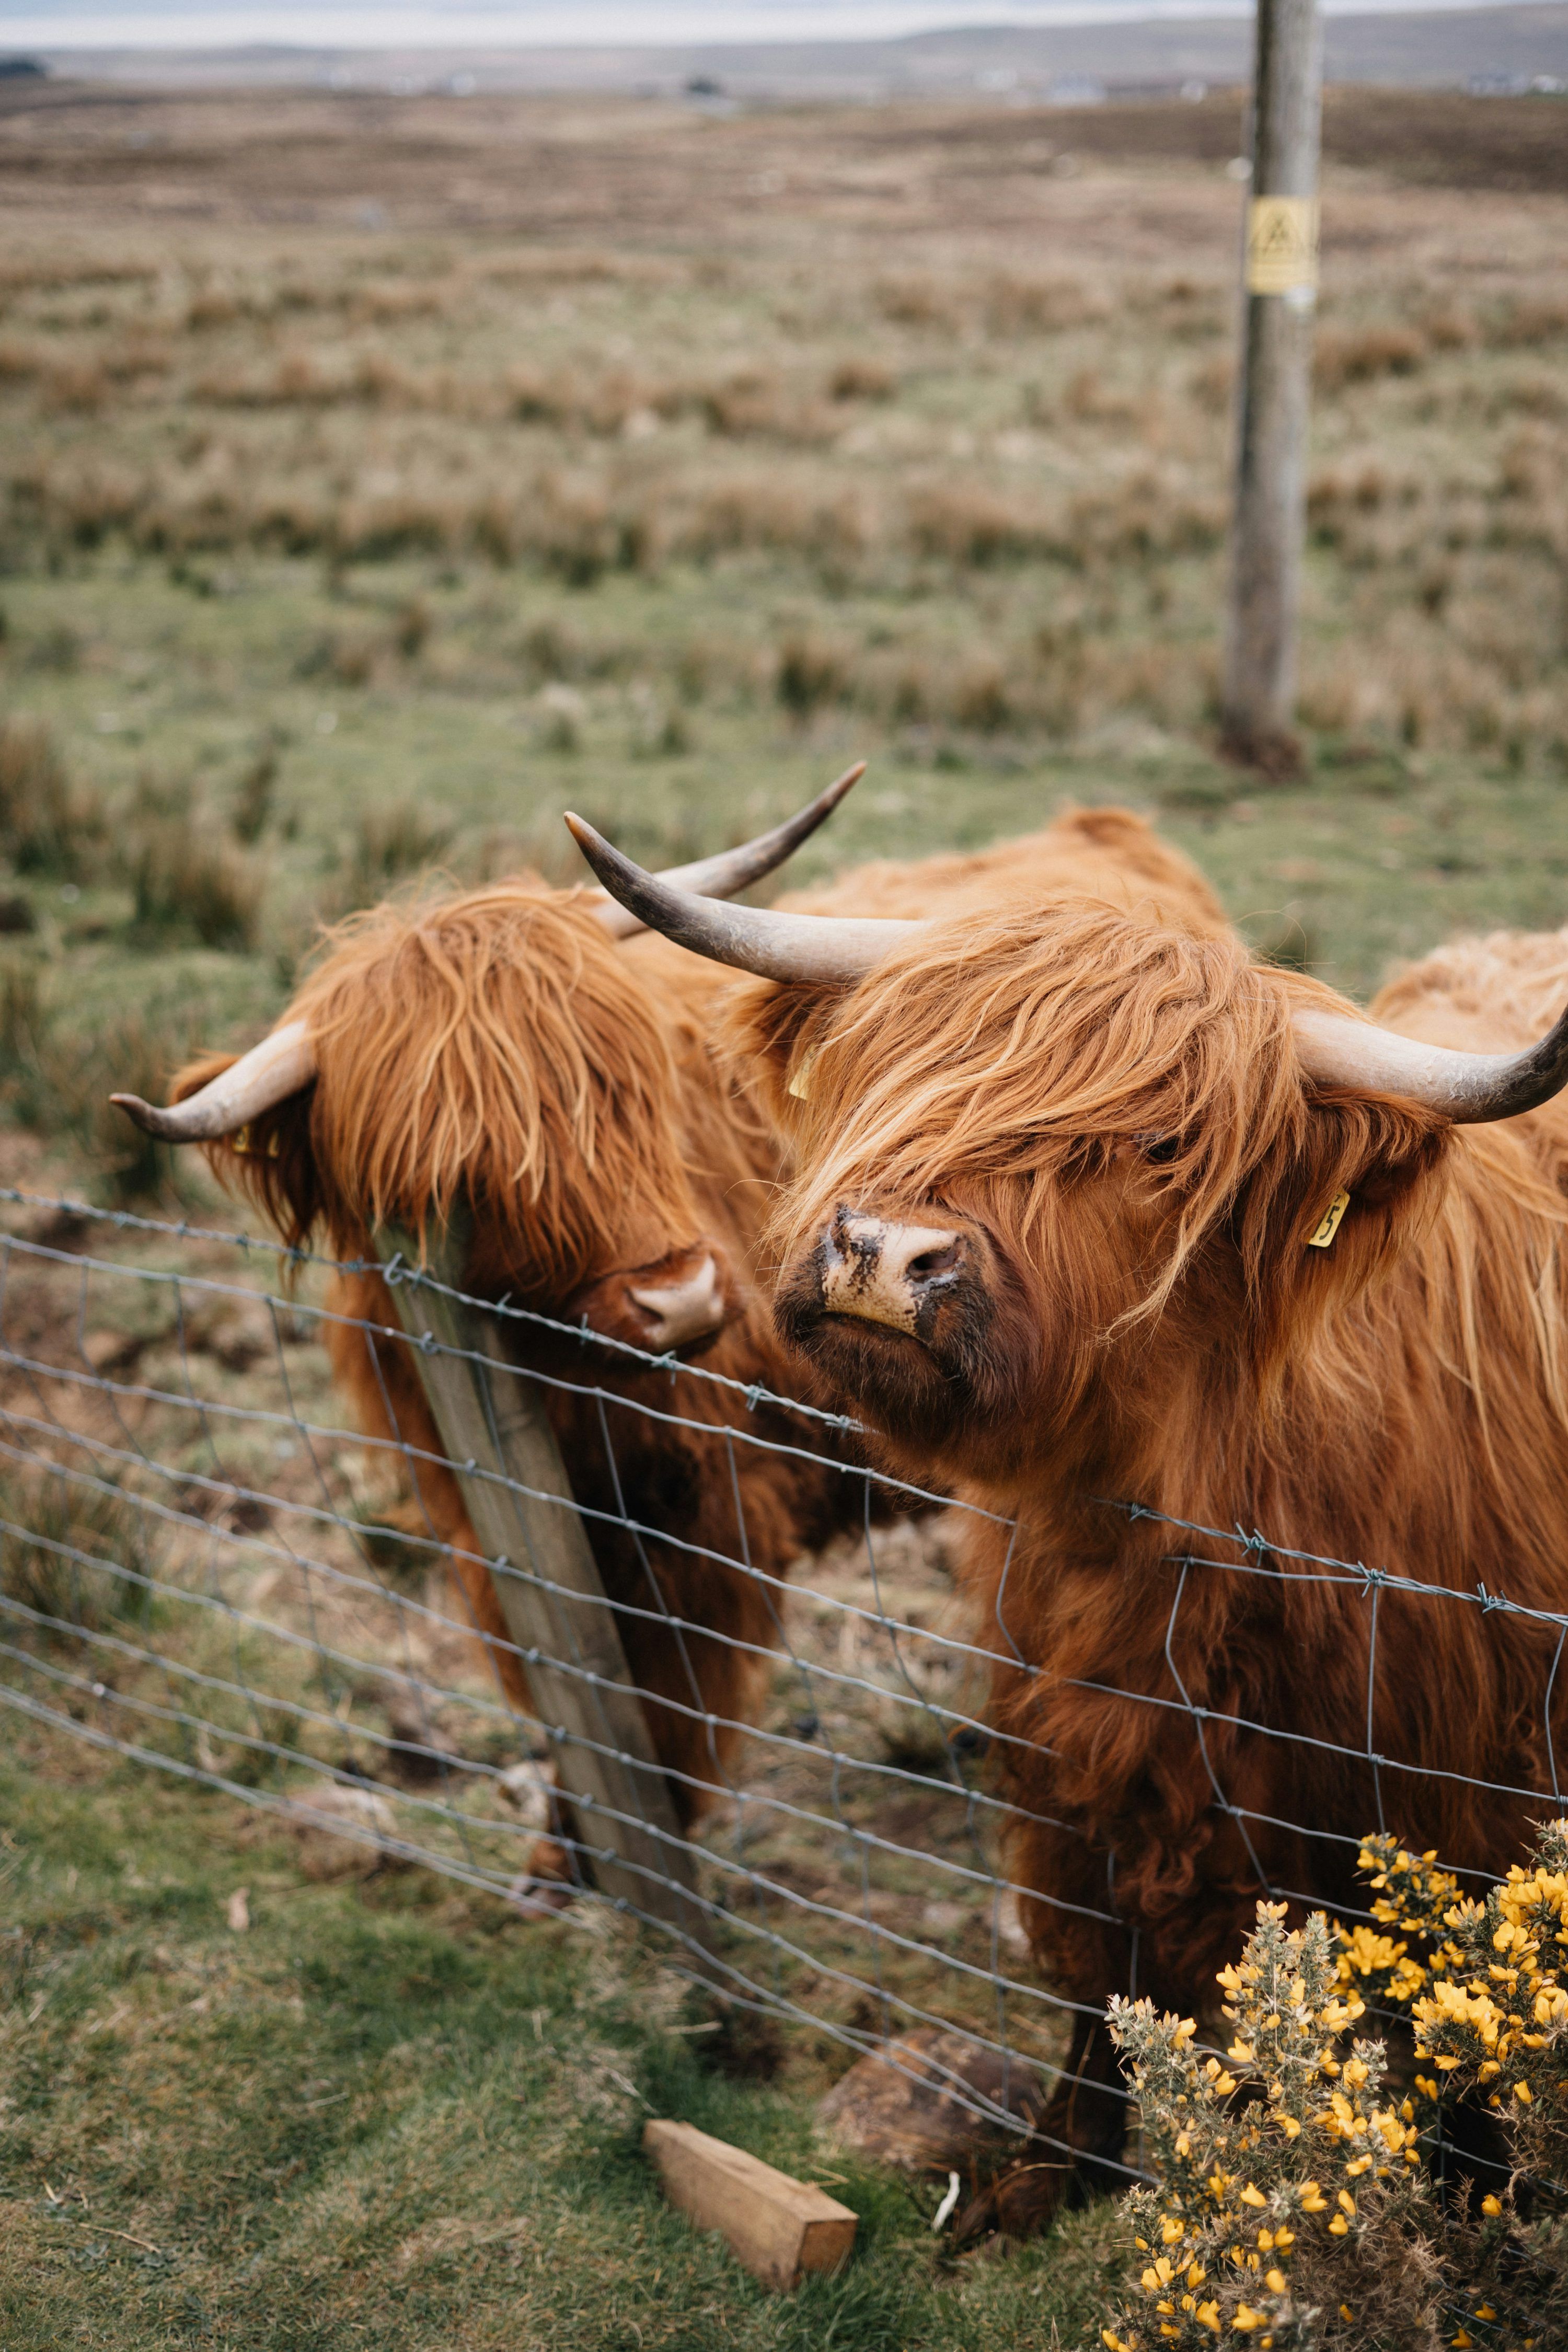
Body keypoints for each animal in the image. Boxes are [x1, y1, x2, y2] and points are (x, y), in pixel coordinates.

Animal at [570, 814, 1568, 2228]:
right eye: (895, 1063)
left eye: (1156, 1149)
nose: (885, 1252)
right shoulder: (1078, 1745)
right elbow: (1102, 1979)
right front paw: (1040, 2177)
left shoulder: (1464, 1803)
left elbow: (1467, 2051)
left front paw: (1476, 2207)